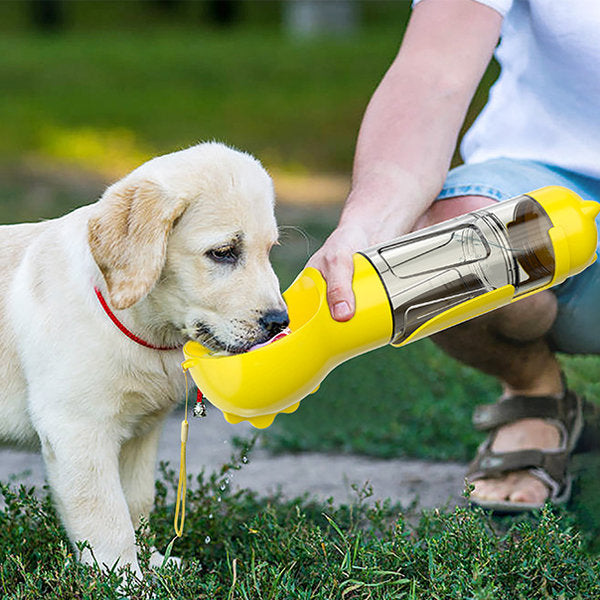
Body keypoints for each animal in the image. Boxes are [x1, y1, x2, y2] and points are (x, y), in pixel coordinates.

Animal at [0, 143, 288, 576]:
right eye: (224, 253)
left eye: (269, 251)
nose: (280, 322)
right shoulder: (77, 429)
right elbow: (106, 516)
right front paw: (124, 578)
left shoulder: (140, 432)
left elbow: (137, 501)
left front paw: (153, 562)